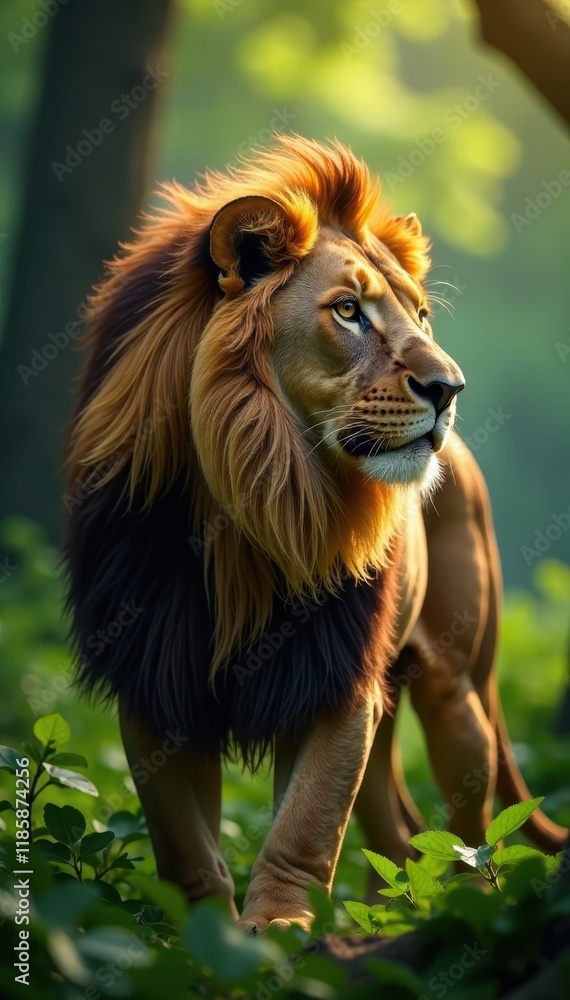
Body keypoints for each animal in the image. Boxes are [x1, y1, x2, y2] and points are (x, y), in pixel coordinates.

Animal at [65, 136, 566, 933]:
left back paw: (468, 914)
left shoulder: (332, 671)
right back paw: (387, 917)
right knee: (397, 831)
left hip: (455, 691)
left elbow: (303, 827)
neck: (256, 496)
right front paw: (202, 941)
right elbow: (186, 849)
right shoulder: (152, 674)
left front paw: (276, 933)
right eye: (350, 311)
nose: (451, 388)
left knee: (473, 833)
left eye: (421, 314)